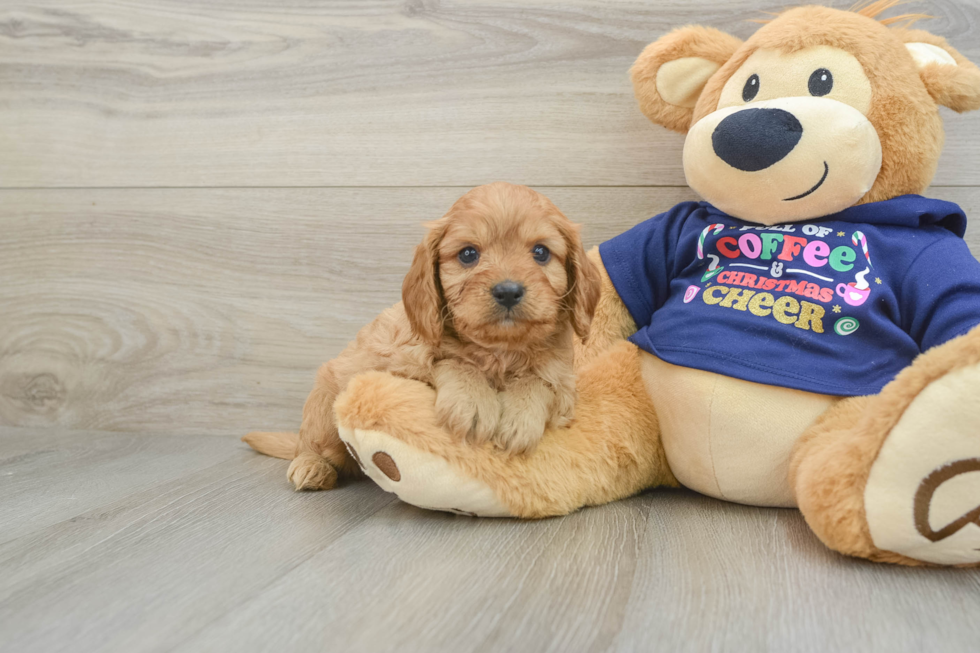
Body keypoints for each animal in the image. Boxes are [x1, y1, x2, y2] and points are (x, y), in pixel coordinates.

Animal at [243, 181, 596, 486]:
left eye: (541, 252)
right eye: (468, 254)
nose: (508, 291)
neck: (499, 350)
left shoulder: (565, 387)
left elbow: (540, 381)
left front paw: (519, 418)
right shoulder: (395, 366)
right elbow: (451, 361)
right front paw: (473, 399)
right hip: (324, 405)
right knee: (312, 445)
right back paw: (311, 466)